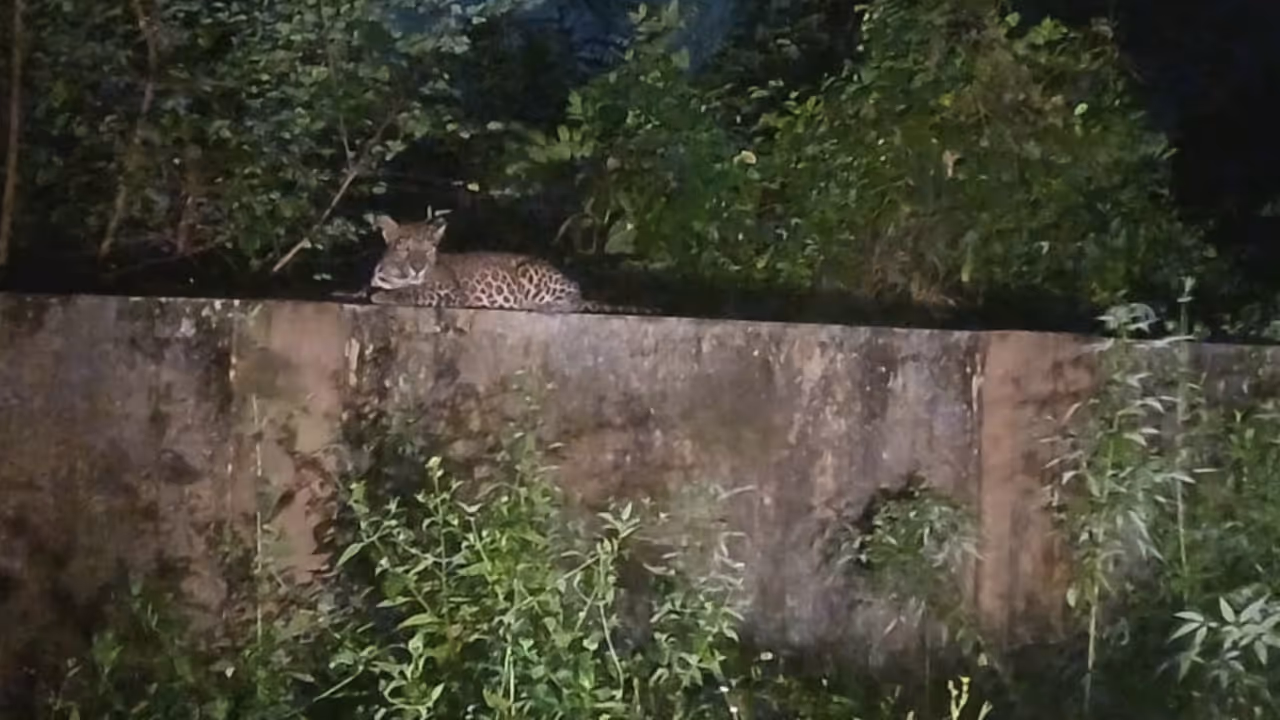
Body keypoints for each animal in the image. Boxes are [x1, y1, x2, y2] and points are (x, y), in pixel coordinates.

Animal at [365, 214, 656, 315]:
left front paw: (385, 296)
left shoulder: (449, 290)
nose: (418, 267)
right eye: (404, 248)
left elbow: (415, 290)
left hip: (529, 271)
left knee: (572, 300)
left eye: (428, 250)